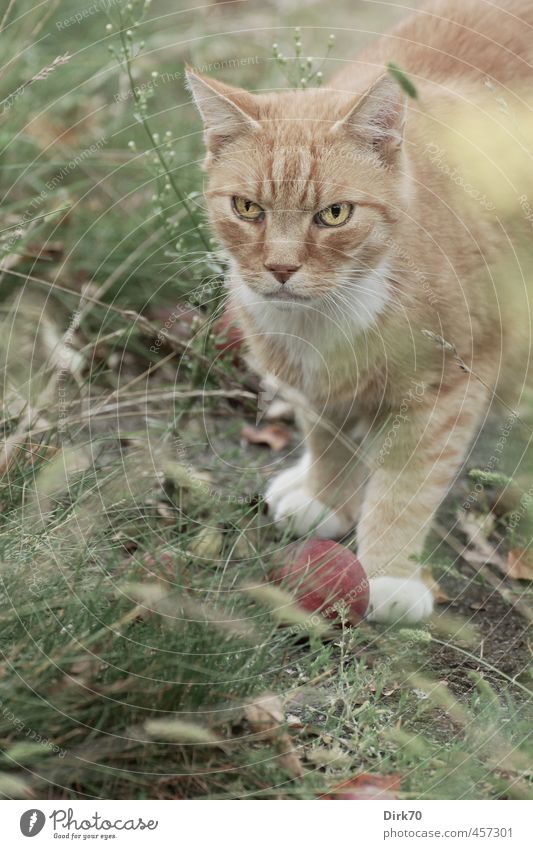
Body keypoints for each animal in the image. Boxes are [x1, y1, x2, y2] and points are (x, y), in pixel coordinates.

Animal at [186, 0, 532, 624]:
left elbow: (408, 486)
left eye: (335, 214)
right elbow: (328, 438)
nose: (280, 268)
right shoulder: (314, 382)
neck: (329, 314)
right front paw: (326, 497)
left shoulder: (448, 389)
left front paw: (389, 571)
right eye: (247, 208)